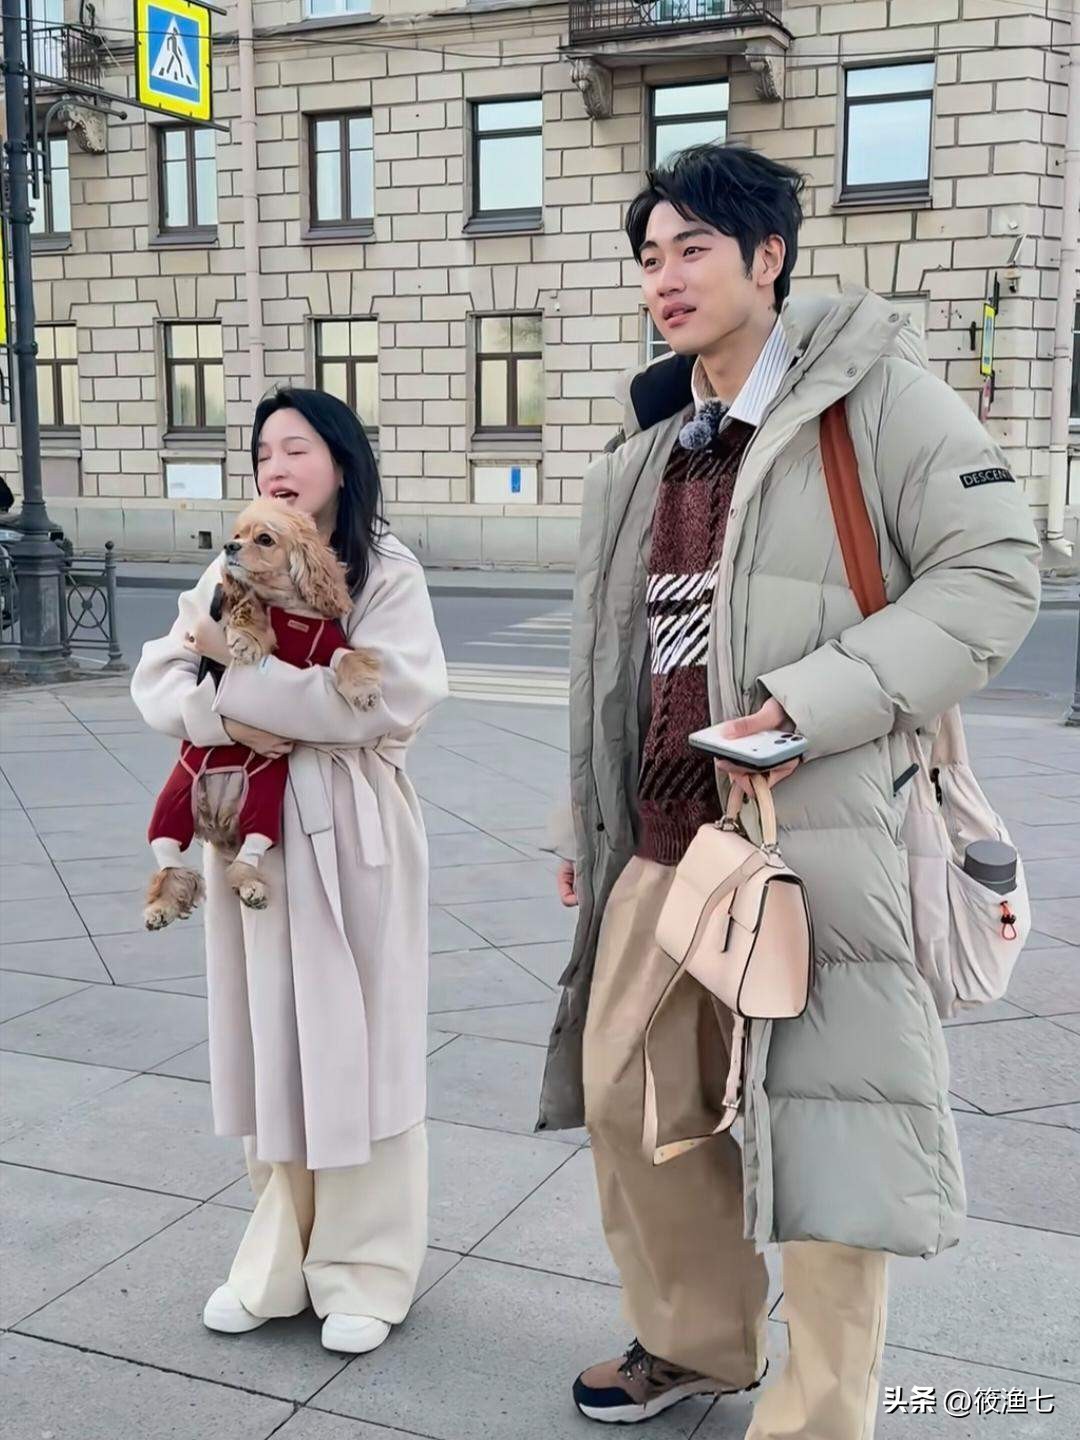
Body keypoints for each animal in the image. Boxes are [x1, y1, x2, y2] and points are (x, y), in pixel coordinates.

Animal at [143, 499, 381, 931]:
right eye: (237, 533)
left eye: (264, 539)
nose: (228, 547)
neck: (290, 609)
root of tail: (216, 816)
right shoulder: (238, 606)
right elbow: (248, 605)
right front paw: (248, 637)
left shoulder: (329, 647)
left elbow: (348, 657)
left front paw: (363, 689)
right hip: (172, 805)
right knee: (169, 863)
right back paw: (161, 908)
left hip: (262, 809)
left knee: (244, 862)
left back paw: (252, 888)